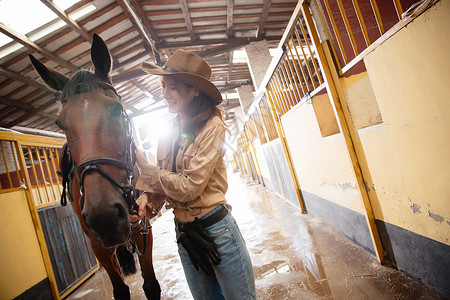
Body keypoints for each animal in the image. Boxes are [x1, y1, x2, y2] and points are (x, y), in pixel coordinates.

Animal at [28, 33, 162, 300]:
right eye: (60, 124)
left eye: (119, 110)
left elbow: (151, 285)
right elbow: (119, 290)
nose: (104, 216)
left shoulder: (143, 228)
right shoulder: (97, 244)